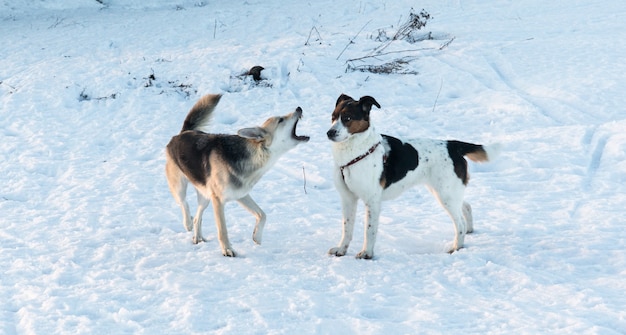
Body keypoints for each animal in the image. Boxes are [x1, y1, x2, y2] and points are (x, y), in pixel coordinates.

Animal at [326, 94, 498, 260]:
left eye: (347, 118)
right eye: (333, 117)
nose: (329, 133)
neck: (355, 154)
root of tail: (453, 146)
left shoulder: (372, 201)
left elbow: (369, 231)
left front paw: (367, 253)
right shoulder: (348, 199)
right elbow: (347, 228)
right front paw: (341, 250)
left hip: (446, 195)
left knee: (460, 223)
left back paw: (457, 246)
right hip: (447, 192)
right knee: (466, 206)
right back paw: (469, 230)